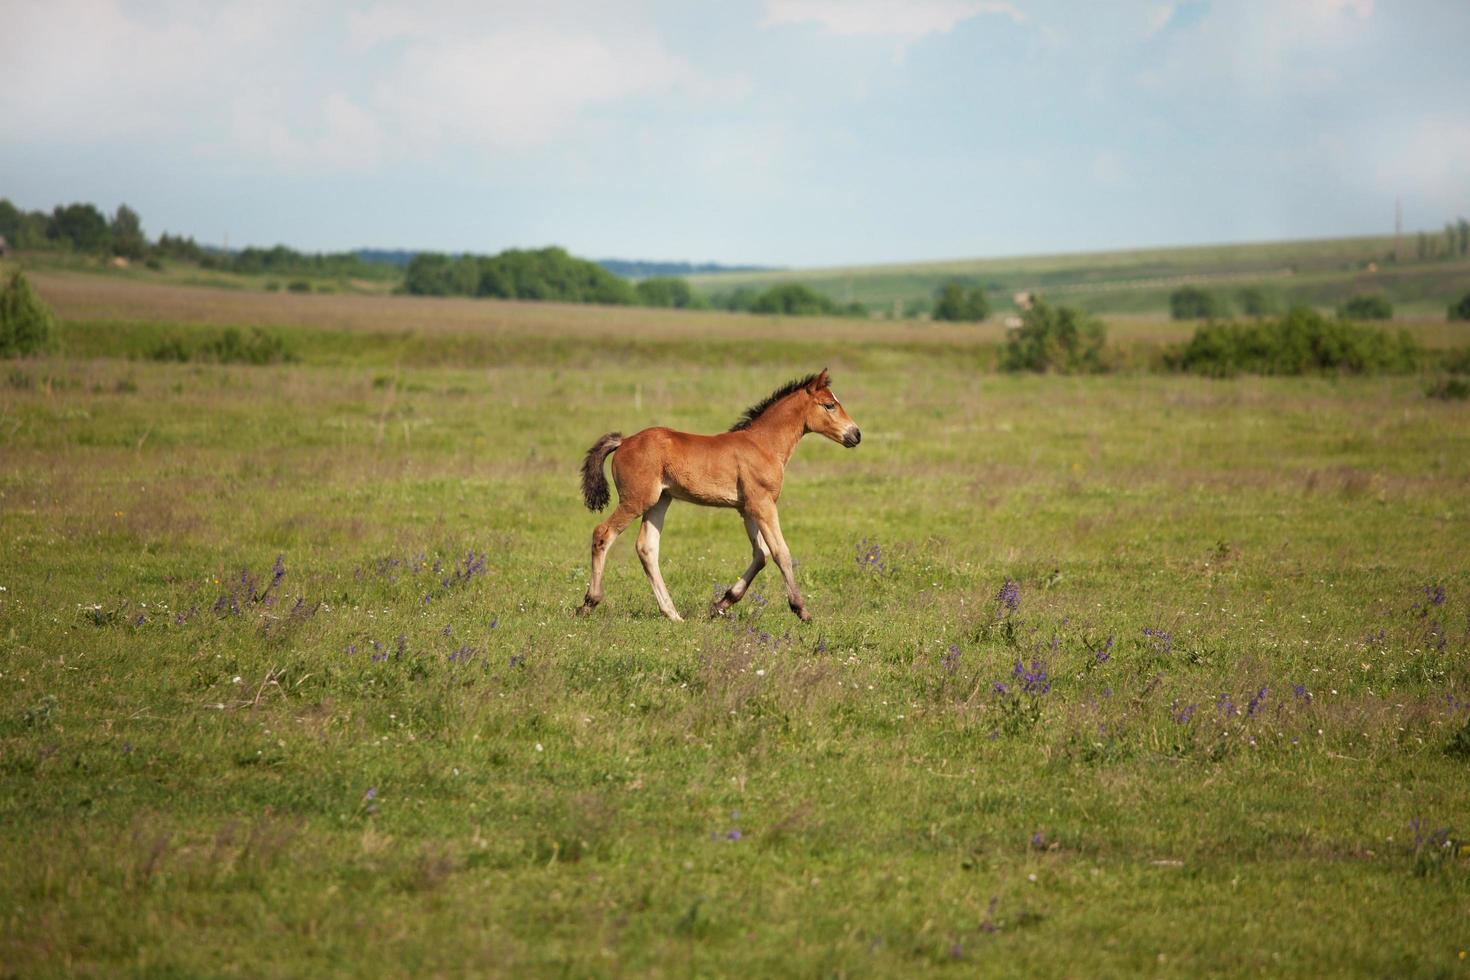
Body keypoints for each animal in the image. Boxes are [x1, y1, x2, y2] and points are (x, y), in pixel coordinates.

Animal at [576, 371, 858, 625]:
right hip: (636, 500)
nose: (856, 434)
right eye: (830, 405)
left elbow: (761, 554)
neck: (763, 444)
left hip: (660, 501)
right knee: (603, 533)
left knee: (647, 547)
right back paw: (589, 603)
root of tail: (624, 442)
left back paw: (672, 614)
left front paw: (721, 604)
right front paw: (801, 610)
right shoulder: (763, 504)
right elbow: (781, 552)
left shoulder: (747, 509)